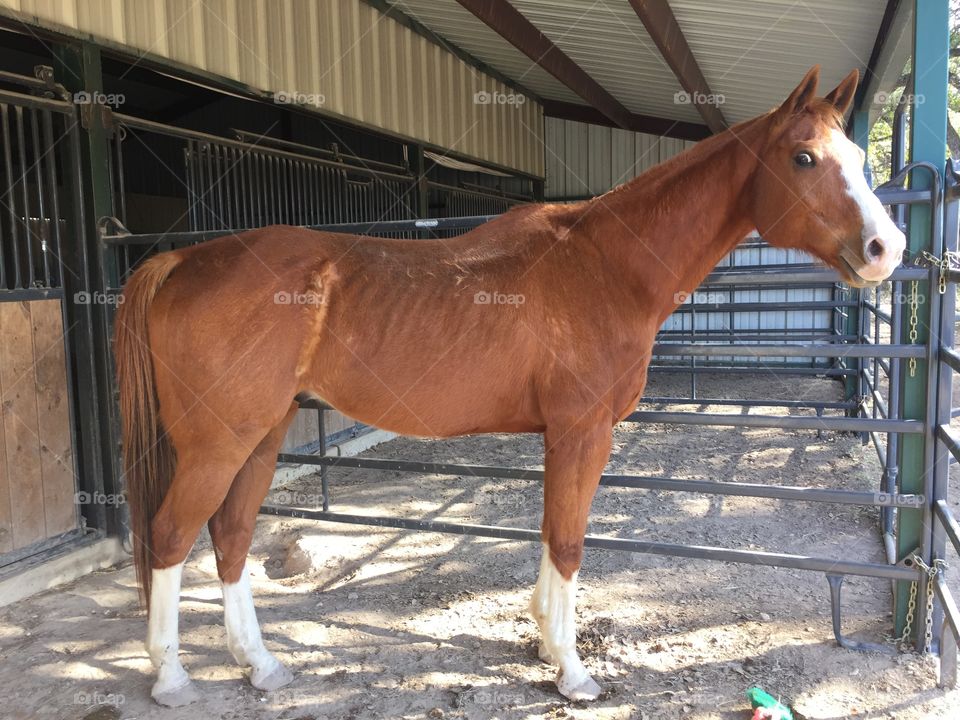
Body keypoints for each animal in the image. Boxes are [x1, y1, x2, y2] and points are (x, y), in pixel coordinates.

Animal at [114, 66, 905, 706]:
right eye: (803, 157)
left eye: (855, 157)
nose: (886, 249)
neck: (605, 266)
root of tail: (179, 262)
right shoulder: (582, 431)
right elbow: (570, 542)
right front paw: (573, 672)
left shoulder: (566, 436)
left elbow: (554, 536)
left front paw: (545, 641)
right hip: (219, 443)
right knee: (171, 537)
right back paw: (173, 678)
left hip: (264, 434)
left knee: (230, 536)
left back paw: (263, 667)